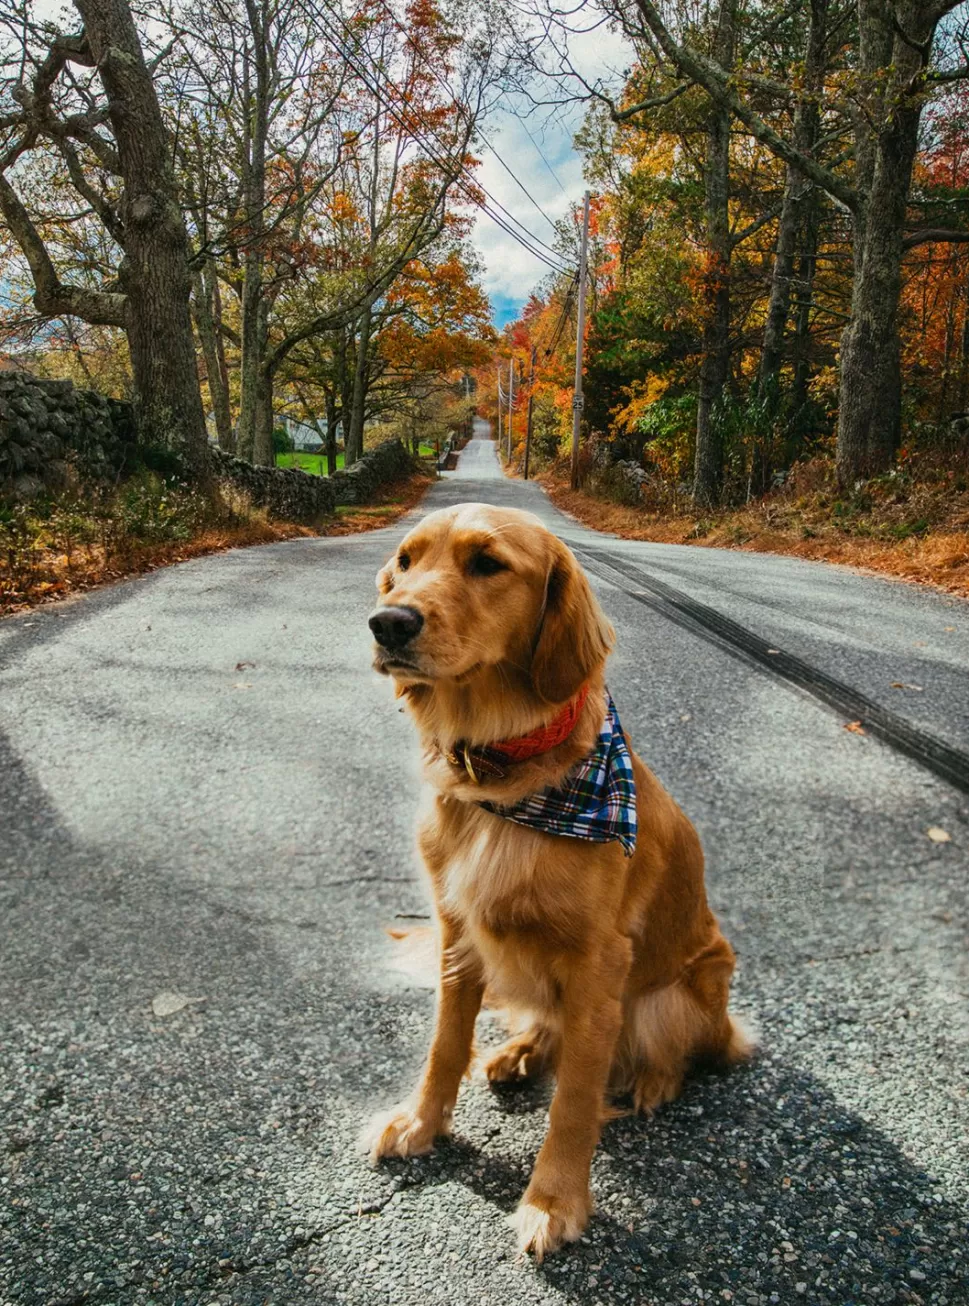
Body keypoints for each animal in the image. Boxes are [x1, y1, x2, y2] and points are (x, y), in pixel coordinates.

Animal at [365, 498, 752, 1253]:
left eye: (487, 563)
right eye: (405, 561)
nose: (388, 622)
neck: (499, 773)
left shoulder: (600, 965)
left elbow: (574, 1099)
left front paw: (553, 1200)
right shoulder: (458, 936)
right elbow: (444, 1046)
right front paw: (422, 1123)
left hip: (679, 993)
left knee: (673, 1052)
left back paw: (653, 1081)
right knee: (546, 1027)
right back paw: (517, 1050)